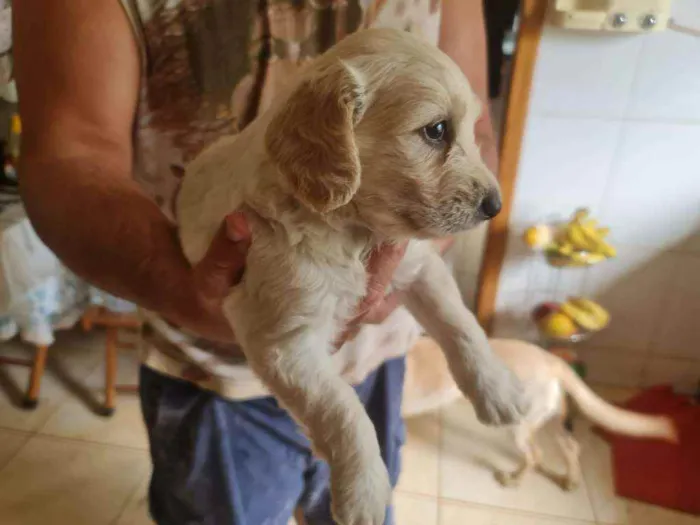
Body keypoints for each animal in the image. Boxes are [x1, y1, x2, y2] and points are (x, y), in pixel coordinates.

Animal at [178, 29, 528, 524]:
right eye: (436, 130)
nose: (494, 206)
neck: (353, 232)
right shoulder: (285, 342)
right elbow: (341, 409)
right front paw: (363, 492)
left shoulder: (418, 265)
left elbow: (461, 325)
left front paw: (499, 391)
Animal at [404, 338, 680, 490]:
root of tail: (553, 361)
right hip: (551, 421)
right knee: (571, 447)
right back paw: (570, 480)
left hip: (518, 428)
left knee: (536, 456)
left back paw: (513, 480)